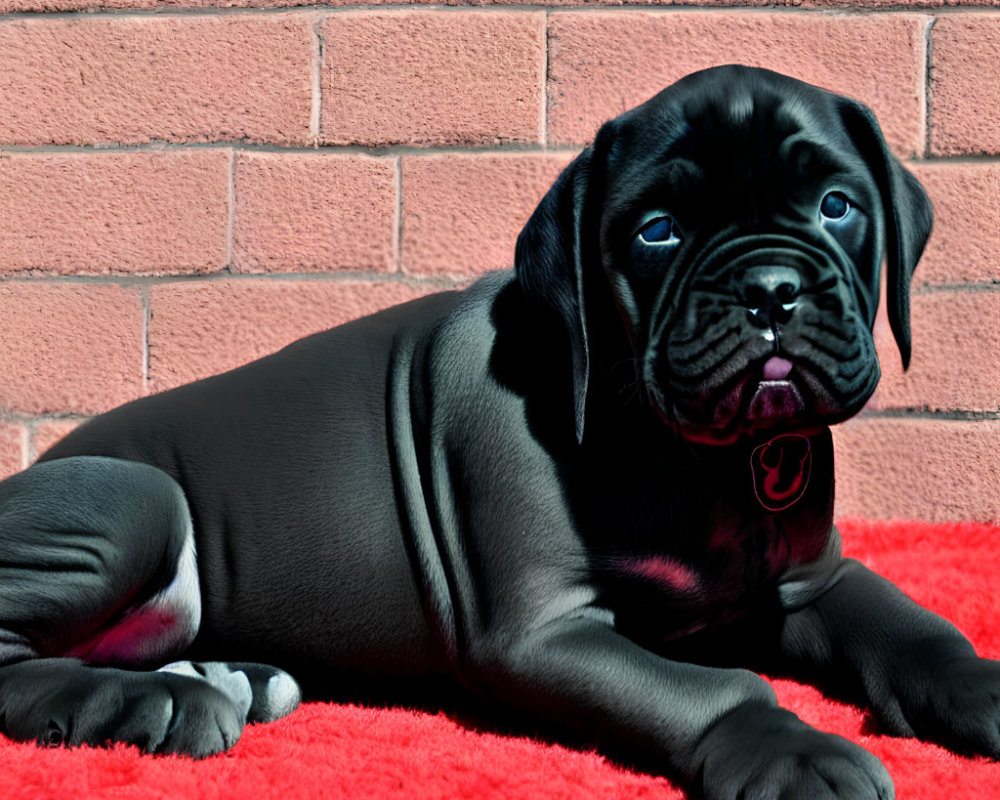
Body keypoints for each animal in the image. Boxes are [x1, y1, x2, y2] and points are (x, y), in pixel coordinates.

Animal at [1, 65, 1000, 796]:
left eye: (837, 206)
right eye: (657, 231)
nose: (770, 291)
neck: (700, 458)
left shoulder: (807, 580)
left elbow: (914, 630)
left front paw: (982, 687)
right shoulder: (540, 631)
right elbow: (708, 688)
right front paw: (792, 751)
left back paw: (226, 676)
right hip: (135, 496)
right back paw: (158, 706)